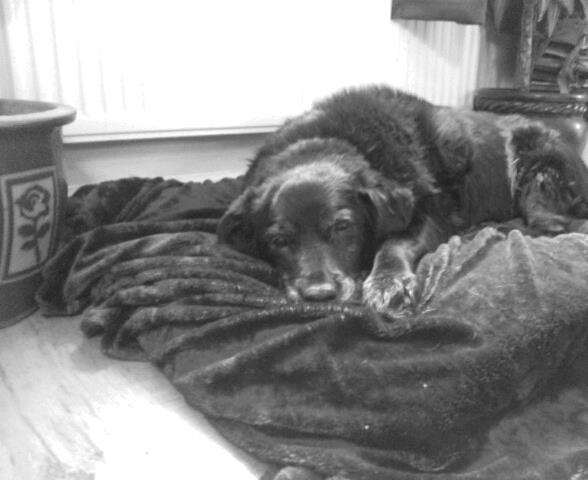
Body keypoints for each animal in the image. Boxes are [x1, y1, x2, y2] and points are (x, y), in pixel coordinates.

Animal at [217, 86, 588, 311]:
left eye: (342, 227)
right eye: (277, 240)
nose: (319, 295)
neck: (335, 140)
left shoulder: (430, 215)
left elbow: (394, 243)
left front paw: (387, 281)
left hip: (539, 163)